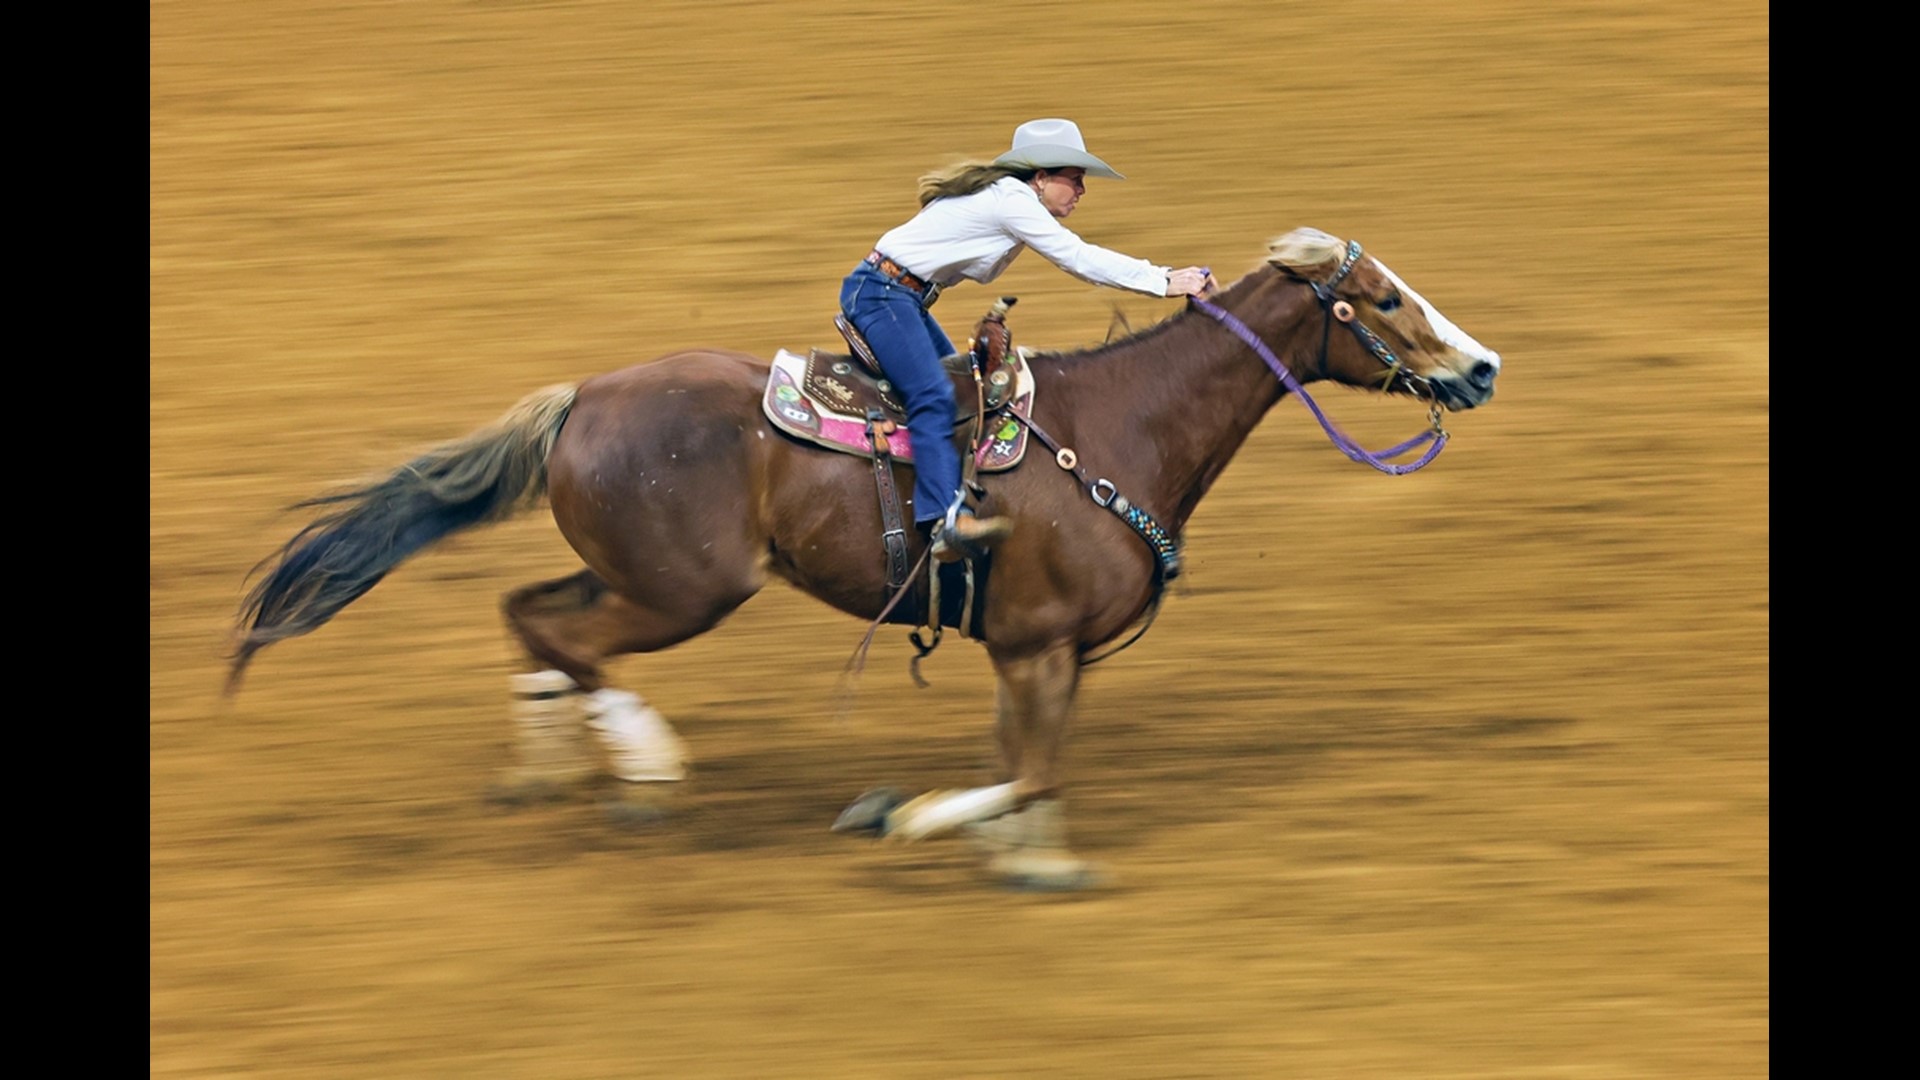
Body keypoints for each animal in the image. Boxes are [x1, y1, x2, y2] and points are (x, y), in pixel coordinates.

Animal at [228, 224, 1497, 883]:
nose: (1481, 368)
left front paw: (1027, 855)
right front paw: (912, 817)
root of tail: (579, 399)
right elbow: (1028, 769)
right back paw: (645, 764)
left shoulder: (1037, 651)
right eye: (1383, 297)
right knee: (566, 637)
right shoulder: (1038, 642)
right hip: (684, 592)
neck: (1118, 428)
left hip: (629, 575)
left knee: (531, 613)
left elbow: (1028, 763)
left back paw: (555, 773)